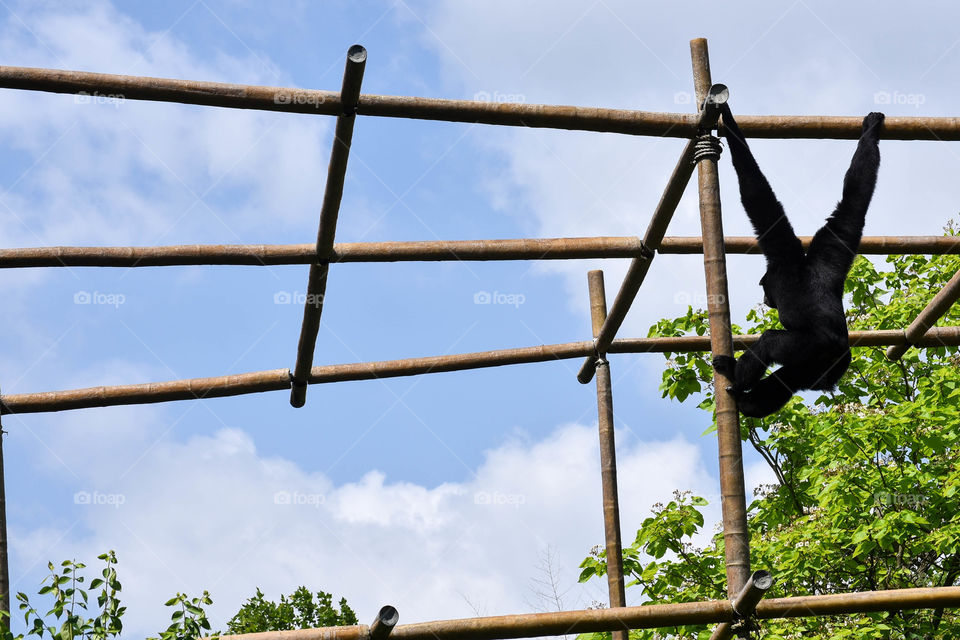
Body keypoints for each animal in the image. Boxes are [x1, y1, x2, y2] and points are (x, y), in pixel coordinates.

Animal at [711, 105, 884, 418]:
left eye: (763, 288)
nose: (765, 298)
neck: (802, 264)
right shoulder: (832, 244)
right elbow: (854, 202)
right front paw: (871, 130)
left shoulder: (782, 252)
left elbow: (757, 196)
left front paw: (727, 117)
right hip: (817, 368)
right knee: (788, 380)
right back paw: (753, 402)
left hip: (811, 348)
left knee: (770, 342)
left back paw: (736, 377)